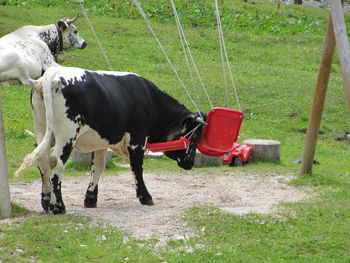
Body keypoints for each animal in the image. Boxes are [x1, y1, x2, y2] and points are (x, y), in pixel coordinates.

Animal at [16, 66, 206, 214]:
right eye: (195, 136)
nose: (190, 163)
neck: (150, 100)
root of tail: (53, 72)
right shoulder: (137, 139)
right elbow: (137, 168)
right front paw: (145, 197)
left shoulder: (100, 142)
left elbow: (98, 168)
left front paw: (90, 199)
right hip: (66, 136)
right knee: (57, 164)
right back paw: (59, 207)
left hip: (42, 130)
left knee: (42, 162)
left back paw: (46, 201)